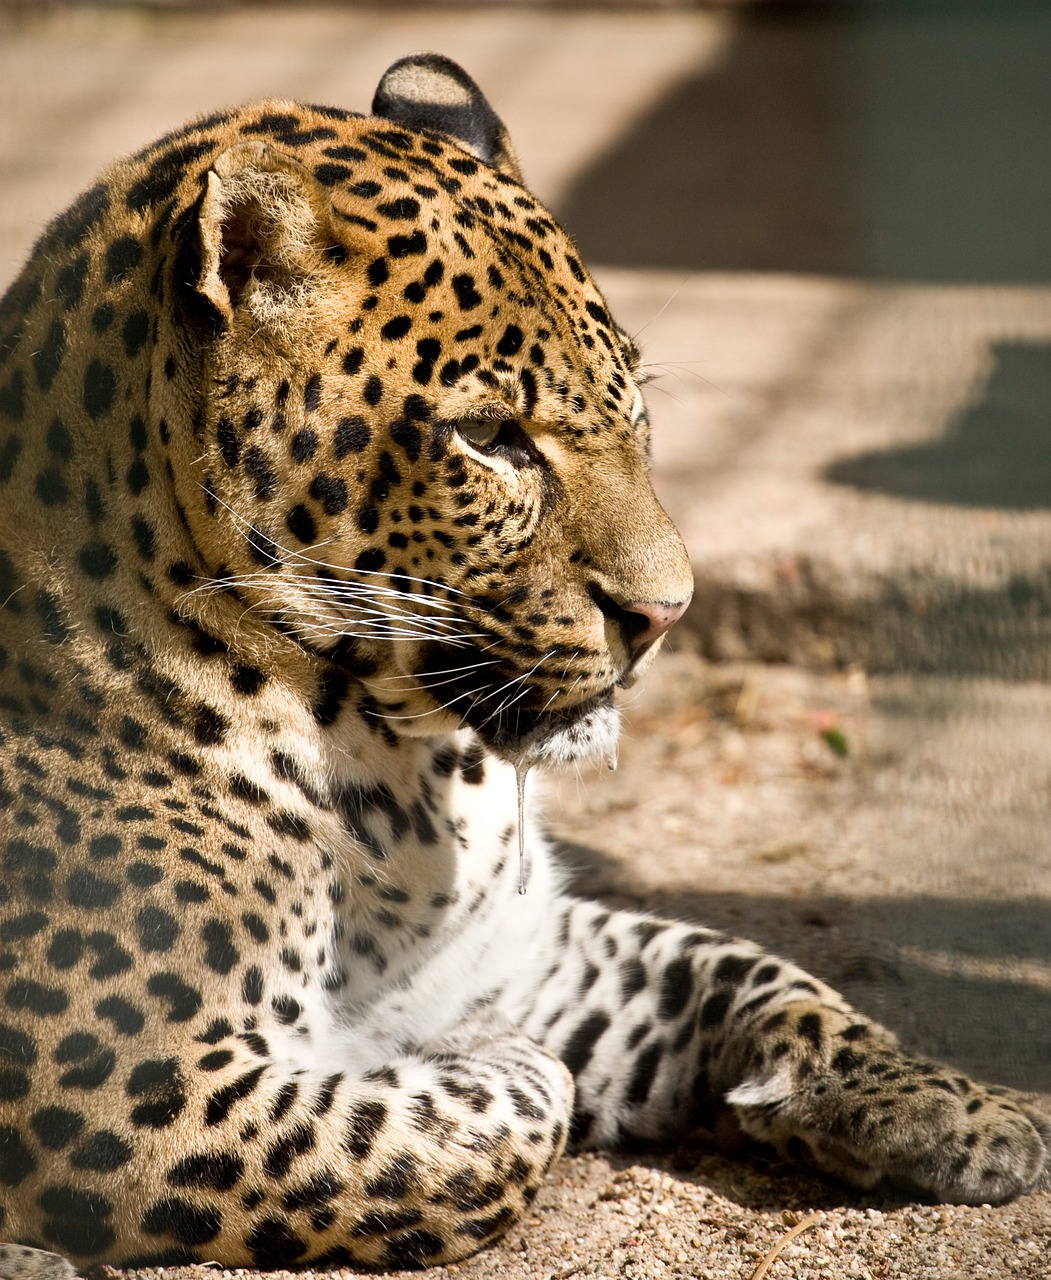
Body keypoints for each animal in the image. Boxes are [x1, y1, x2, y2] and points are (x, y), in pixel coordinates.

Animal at [0, 52, 1044, 1280]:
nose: (664, 612)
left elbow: (748, 967)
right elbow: (490, 1125)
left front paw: (959, 1109)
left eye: (634, 407)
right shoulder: (122, 1091)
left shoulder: (519, 945)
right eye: (490, 437)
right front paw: (484, 1056)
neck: (397, 779)